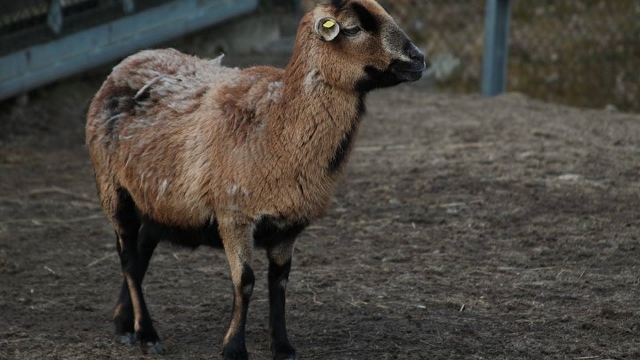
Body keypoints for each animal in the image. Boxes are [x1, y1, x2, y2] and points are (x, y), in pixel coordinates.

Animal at [84, 1, 424, 358]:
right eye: (354, 28)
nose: (419, 59)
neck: (281, 125)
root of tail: (129, 60)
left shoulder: (289, 222)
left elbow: (280, 281)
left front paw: (282, 346)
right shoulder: (234, 215)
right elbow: (245, 282)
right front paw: (234, 348)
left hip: (157, 202)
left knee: (140, 254)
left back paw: (124, 323)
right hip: (113, 189)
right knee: (128, 259)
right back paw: (146, 333)